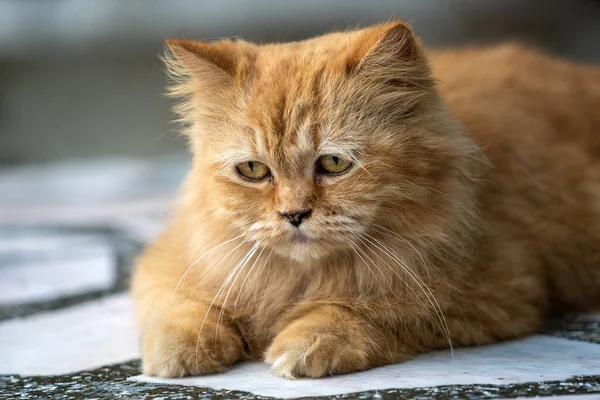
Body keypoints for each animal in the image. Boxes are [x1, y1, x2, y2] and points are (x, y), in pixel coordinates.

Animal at [131, 21, 600, 378]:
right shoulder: (172, 262)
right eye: (254, 171)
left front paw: (308, 342)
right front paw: (180, 351)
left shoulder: (498, 293)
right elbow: (181, 308)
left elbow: (368, 310)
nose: (294, 214)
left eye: (334, 163)